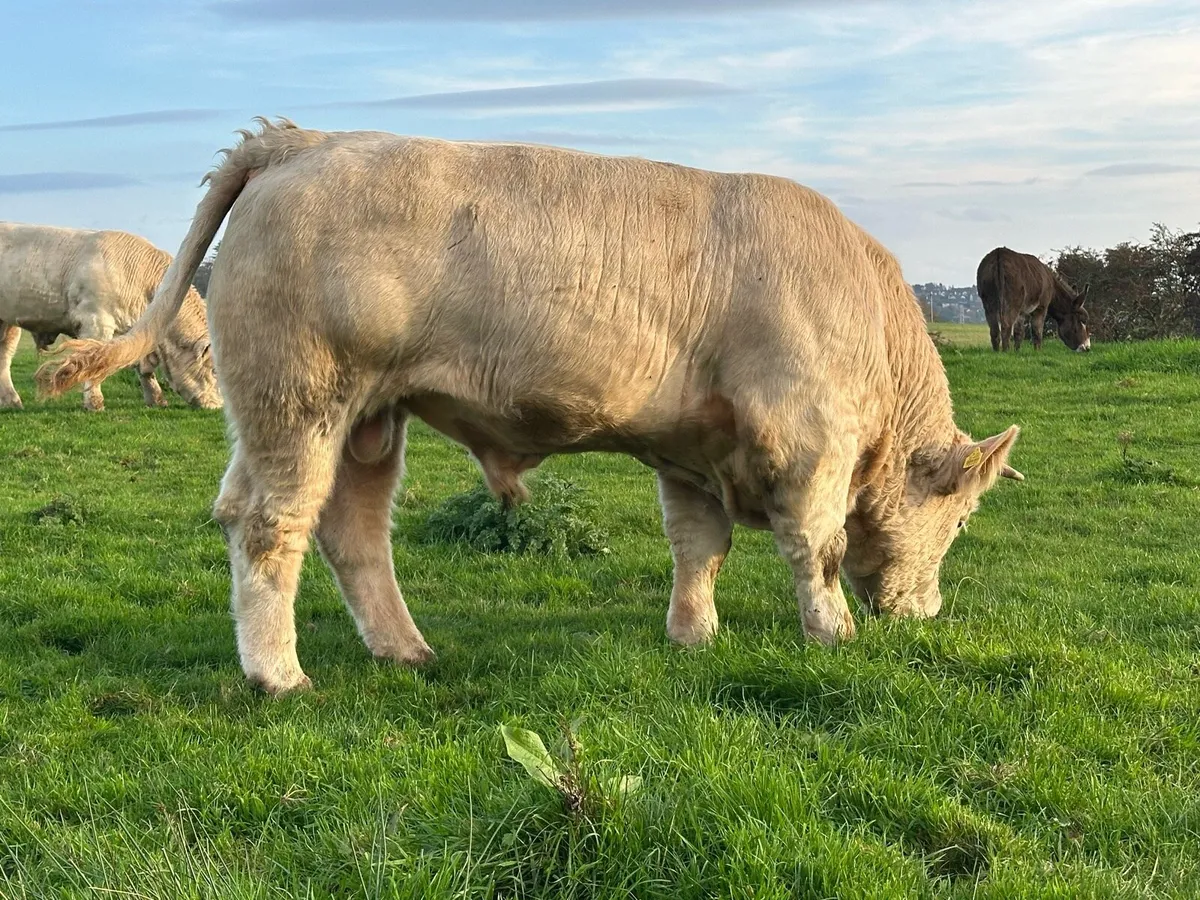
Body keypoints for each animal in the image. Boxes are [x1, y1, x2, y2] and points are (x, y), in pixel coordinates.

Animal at [0, 222, 222, 411]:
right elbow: (94, 363)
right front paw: (94, 403)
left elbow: (142, 367)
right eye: (214, 370)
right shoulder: (96, 322)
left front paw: (156, 399)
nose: (218, 405)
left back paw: (12, 401)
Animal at [39, 118, 1025, 695]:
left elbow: (697, 548)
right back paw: (278, 675)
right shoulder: (808, 441)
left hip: (364, 418)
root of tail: (305, 140)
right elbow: (813, 549)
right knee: (267, 524)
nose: (927, 614)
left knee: (350, 531)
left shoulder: (693, 450)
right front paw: (836, 635)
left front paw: (694, 636)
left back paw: (404, 649)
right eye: (961, 521)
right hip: (299, 399)